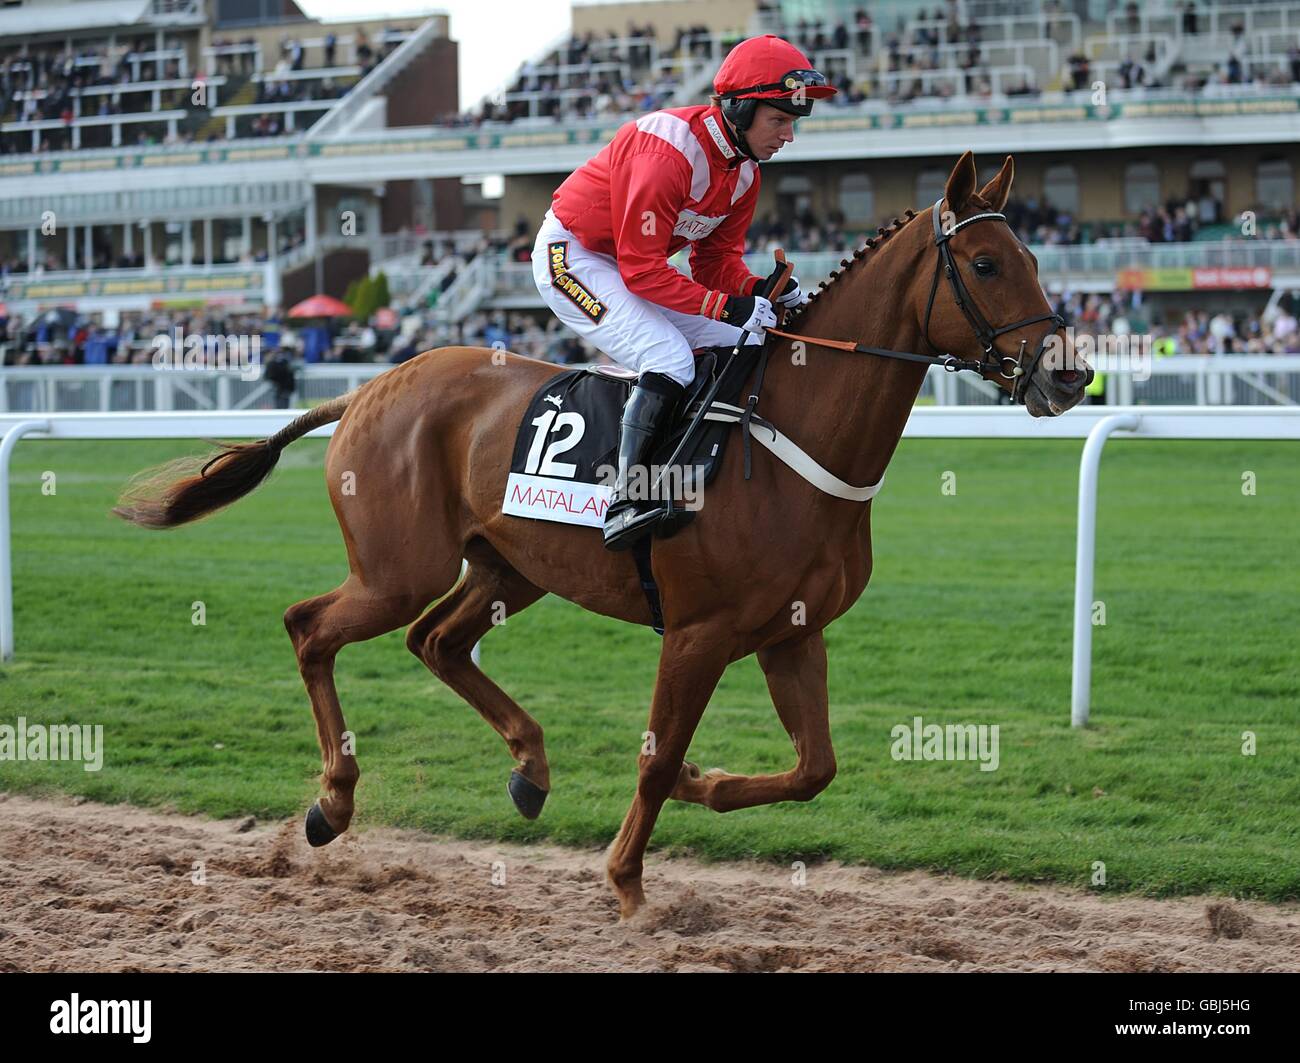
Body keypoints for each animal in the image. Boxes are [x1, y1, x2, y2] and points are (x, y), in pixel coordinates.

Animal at [114, 153, 1086, 914]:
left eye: (1034, 255)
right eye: (988, 263)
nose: (1068, 375)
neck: (786, 435)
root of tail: (368, 388)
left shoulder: (791, 632)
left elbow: (813, 768)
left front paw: (703, 783)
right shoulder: (698, 633)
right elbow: (658, 759)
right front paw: (627, 880)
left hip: (509, 567)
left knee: (436, 641)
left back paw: (529, 769)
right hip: (398, 568)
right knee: (310, 627)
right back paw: (332, 803)